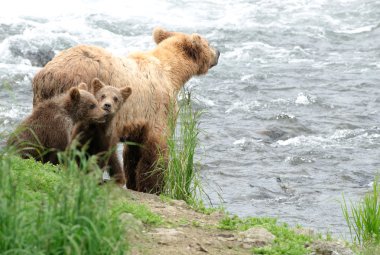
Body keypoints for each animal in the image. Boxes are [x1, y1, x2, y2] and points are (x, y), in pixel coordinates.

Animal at [31, 26, 221, 193]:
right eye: (208, 43)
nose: (218, 52)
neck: (172, 74)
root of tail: (48, 74)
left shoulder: (137, 121)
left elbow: (133, 154)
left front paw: (135, 183)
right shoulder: (158, 108)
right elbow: (156, 149)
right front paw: (154, 188)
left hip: (43, 100)